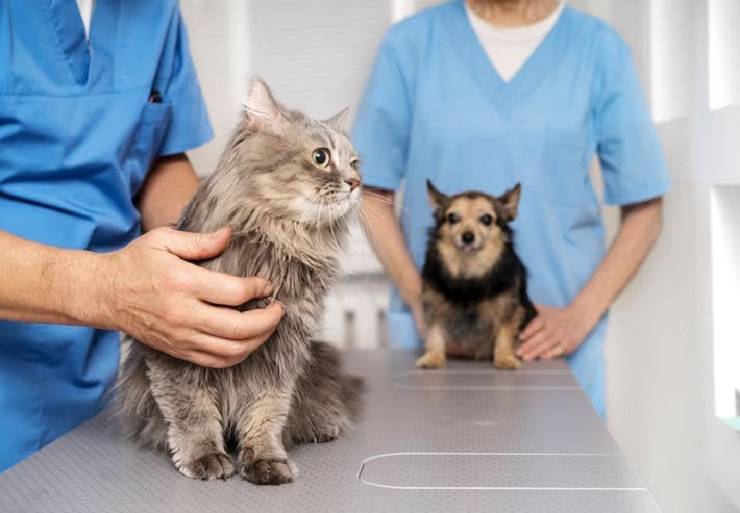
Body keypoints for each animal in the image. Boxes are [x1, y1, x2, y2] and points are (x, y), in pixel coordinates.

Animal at [416, 180, 536, 368]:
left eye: (486, 219)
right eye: (453, 217)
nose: (467, 237)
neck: (469, 269)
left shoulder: (508, 309)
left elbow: (504, 334)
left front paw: (504, 358)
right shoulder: (434, 305)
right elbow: (435, 332)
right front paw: (433, 357)